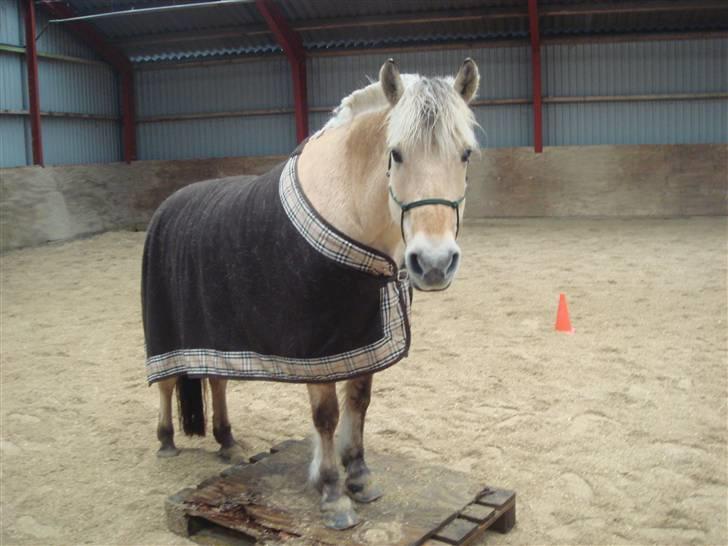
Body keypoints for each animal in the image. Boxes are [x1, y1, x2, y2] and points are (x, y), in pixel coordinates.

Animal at [143, 56, 480, 528]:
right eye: (396, 153)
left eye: (465, 154)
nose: (433, 263)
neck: (345, 215)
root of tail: (169, 204)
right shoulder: (318, 351)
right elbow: (326, 416)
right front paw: (333, 494)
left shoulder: (361, 340)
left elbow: (359, 402)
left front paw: (359, 477)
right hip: (167, 331)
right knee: (168, 382)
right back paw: (167, 440)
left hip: (214, 333)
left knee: (217, 379)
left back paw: (227, 441)